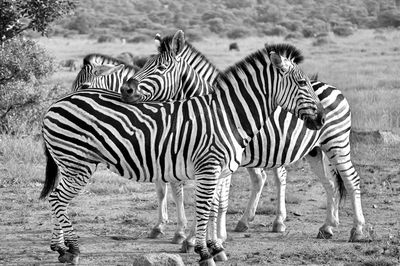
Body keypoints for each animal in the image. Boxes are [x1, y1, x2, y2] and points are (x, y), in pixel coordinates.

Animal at [40, 40, 322, 266]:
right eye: (301, 83)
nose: (321, 118)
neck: (227, 115)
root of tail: (56, 103)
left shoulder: (217, 171)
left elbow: (212, 207)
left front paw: (214, 246)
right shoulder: (207, 168)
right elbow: (203, 207)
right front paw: (204, 252)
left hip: (70, 162)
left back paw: (62, 248)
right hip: (77, 162)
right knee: (58, 199)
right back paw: (73, 250)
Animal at [120, 32, 368, 250]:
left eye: (160, 68)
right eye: (144, 64)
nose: (126, 89)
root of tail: (334, 88)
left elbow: (211, 199)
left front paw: (194, 237)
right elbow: (175, 190)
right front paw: (180, 232)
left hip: (337, 143)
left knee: (351, 180)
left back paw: (356, 230)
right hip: (315, 150)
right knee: (330, 185)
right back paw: (327, 227)